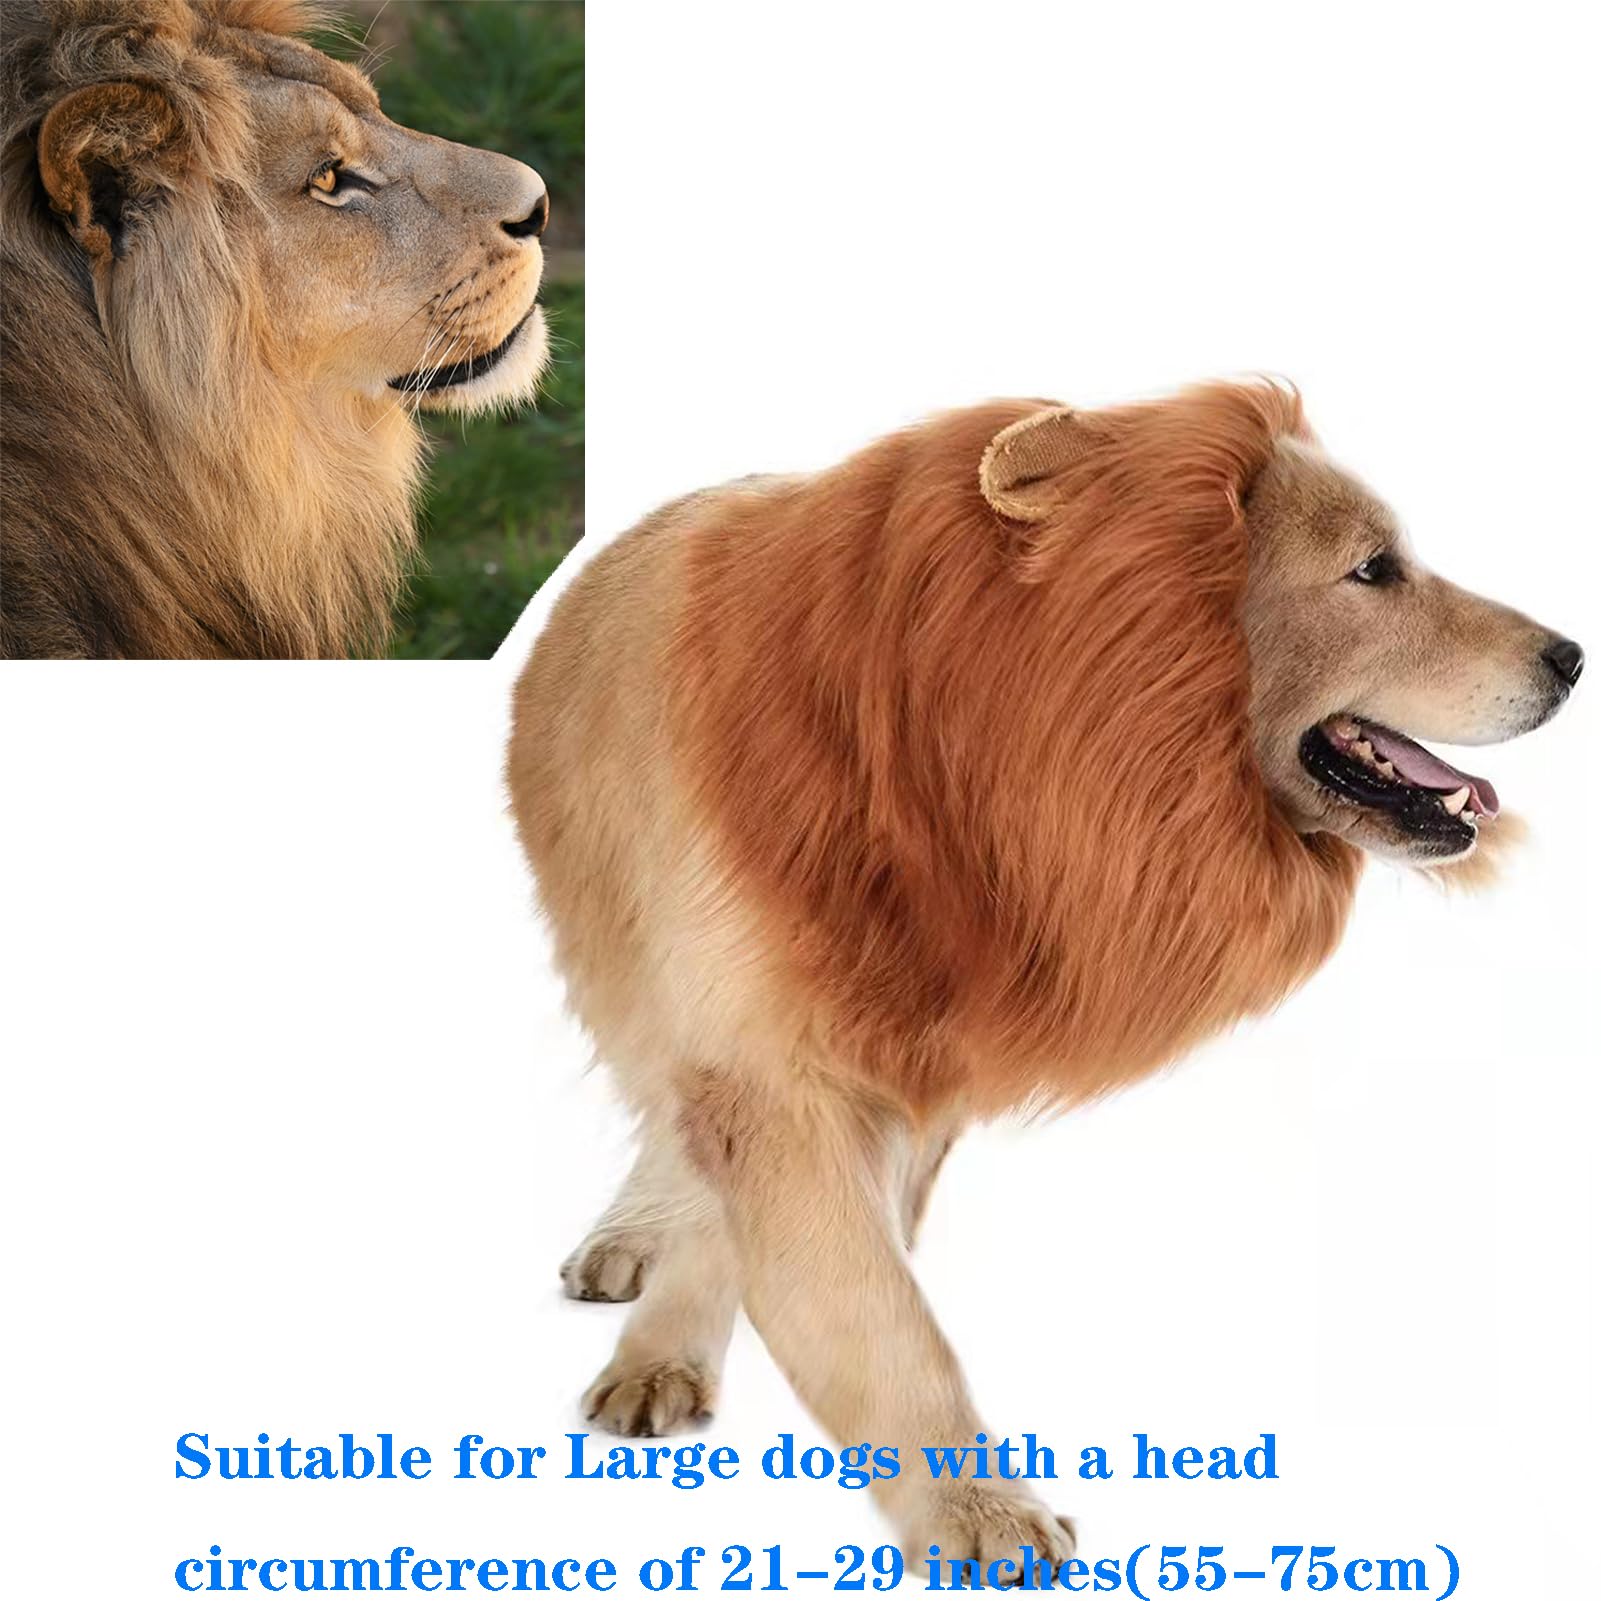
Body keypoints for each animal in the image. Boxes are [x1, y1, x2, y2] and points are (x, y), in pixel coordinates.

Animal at [507, 382, 1582, 1574]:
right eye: (1372, 569)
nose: (1571, 656)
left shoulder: (891, 1058)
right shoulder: (762, 1052)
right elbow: (877, 1314)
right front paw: (979, 1514)